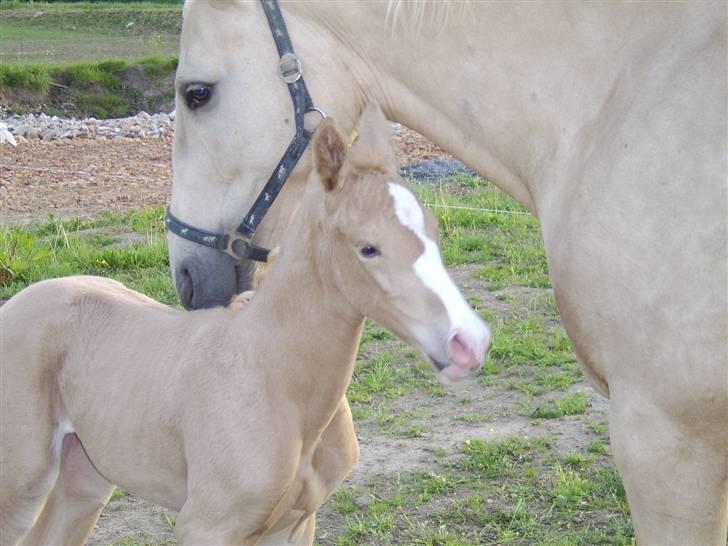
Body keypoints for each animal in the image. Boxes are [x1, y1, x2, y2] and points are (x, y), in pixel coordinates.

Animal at [0, 103, 490, 545]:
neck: (276, 377)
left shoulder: (295, 524)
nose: (469, 342)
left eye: (433, 231)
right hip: (21, 482)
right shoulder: (208, 527)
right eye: (368, 247)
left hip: (86, 477)